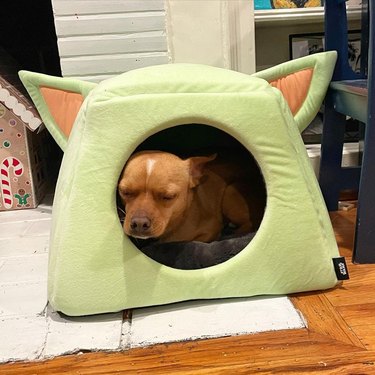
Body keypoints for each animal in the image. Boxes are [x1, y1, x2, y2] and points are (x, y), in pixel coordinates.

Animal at [119, 151, 266, 244]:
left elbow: (194, 240)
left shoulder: (211, 228)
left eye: (168, 196)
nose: (139, 223)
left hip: (230, 194)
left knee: (249, 224)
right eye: (124, 192)